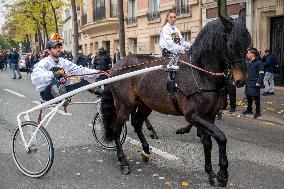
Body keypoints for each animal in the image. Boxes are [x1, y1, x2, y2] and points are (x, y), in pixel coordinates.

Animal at [100, 9, 251, 188]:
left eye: (248, 44)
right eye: (231, 45)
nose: (240, 80)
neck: (200, 72)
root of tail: (115, 67)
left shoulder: (209, 116)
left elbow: (208, 143)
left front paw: (210, 172)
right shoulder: (193, 116)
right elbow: (221, 137)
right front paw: (222, 172)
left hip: (145, 104)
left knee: (136, 122)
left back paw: (145, 149)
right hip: (125, 105)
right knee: (117, 129)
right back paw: (123, 161)